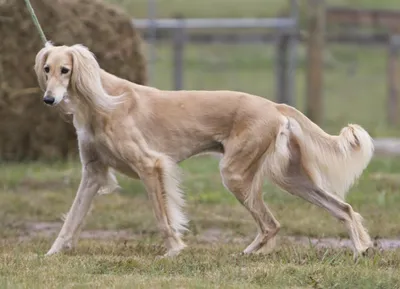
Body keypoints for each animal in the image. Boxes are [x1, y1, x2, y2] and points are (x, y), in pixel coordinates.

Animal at [34, 42, 376, 258]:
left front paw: (174, 250)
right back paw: (361, 249)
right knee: (342, 209)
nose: (48, 100)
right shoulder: (92, 173)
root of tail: (274, 105)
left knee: (271, 224)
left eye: (66, 70)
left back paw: (248, 254)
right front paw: (52, 253)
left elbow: (163, 217)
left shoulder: (151, 165)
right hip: (292, 179)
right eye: (47, 68)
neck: (101, 101)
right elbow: (72, 219)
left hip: (236, 173)